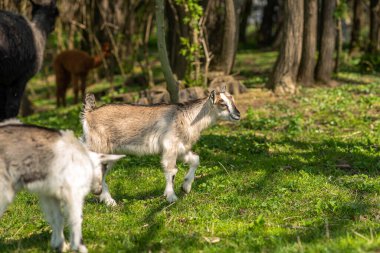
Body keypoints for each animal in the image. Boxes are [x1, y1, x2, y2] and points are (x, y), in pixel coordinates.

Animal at [0, 119, 124, 252]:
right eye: (104, 168)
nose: (99, 191)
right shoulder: (72, 192)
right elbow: (76, 219)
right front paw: (79, 247)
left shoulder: (49, 195)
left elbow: (57, 219)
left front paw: (60, 245)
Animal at [81, 89, 240, 206]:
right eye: (222, 103)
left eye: (232, 100)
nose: (238, 115)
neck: (187, 118)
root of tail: (89, 114)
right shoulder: (170, 147)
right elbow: (171, 170)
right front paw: (171, 197)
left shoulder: (180, 148)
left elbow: (195, 160)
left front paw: (186, 187)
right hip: (99, 147)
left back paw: (108, 201)